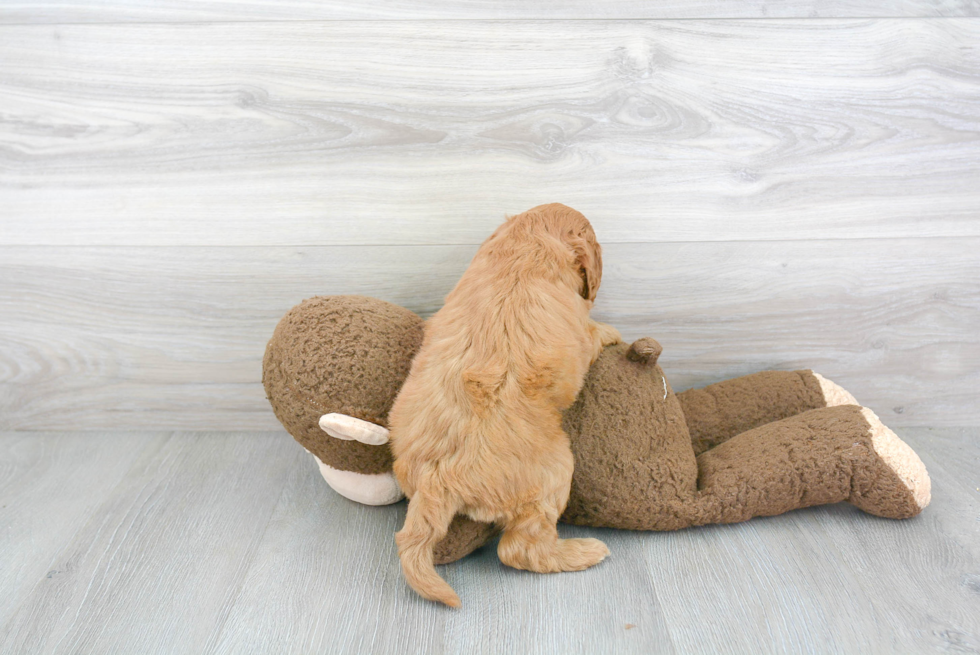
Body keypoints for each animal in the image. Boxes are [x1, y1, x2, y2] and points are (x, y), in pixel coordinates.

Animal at [388, 202, 620, 608]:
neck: (525, 246)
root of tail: (437, 477)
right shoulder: (581, 330)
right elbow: (594, 332)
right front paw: (613, 332)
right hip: (556, 472)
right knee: (520, 550)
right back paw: (583, 552)